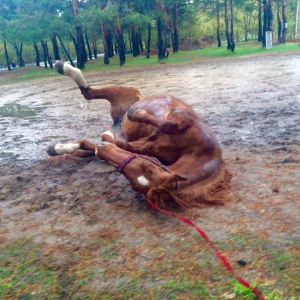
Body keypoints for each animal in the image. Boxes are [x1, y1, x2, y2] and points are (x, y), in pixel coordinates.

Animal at [48, 59, 232, 207]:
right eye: (147, 166)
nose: (102, 149)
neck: (198, 149)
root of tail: (117, 121)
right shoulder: (181, 117)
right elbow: (166, 124)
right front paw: (135, 113)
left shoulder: (143, 145)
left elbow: (118, 144)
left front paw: (103, 142)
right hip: (124, 91)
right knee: (88, 92)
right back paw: (63, 66)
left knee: (87, 136)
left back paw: (58, 148)